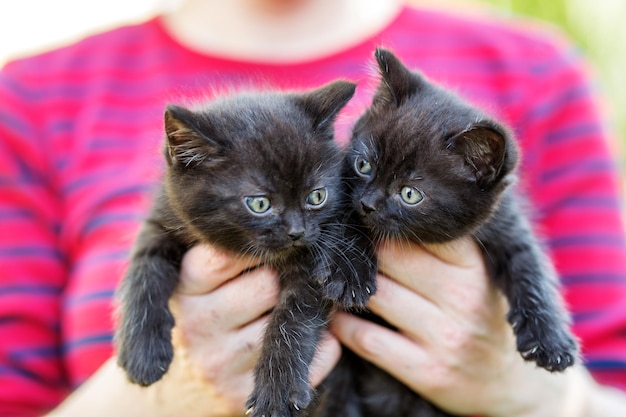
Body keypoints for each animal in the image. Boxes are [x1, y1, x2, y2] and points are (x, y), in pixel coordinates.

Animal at [113, 80, 376, 416]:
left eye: (316, 196)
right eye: (259, 203)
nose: (297, 232)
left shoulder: (309, 265)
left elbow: (293, 316)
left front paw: (277, 392)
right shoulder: (164, 219)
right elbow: (145, 267)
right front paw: (142, 353)